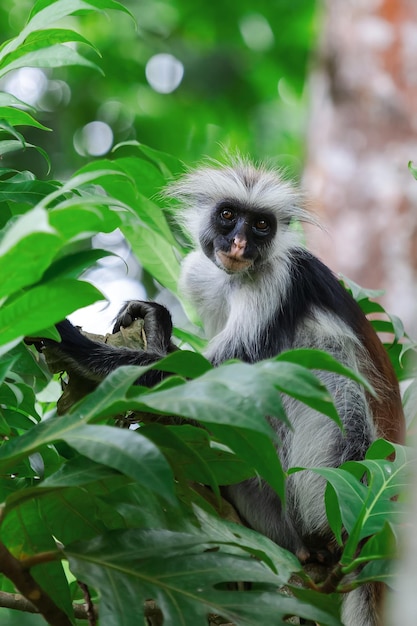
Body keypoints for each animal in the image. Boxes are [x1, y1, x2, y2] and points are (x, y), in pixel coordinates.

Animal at [32, 158, 404, 620]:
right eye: (228, 215)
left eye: (261, 224)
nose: (241, 241)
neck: (237, 278)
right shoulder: (200, 274)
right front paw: (155, 321)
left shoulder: (276, 281)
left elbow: (207, 383)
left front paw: (72, 344)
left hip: (337, 477)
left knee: (325, 375)